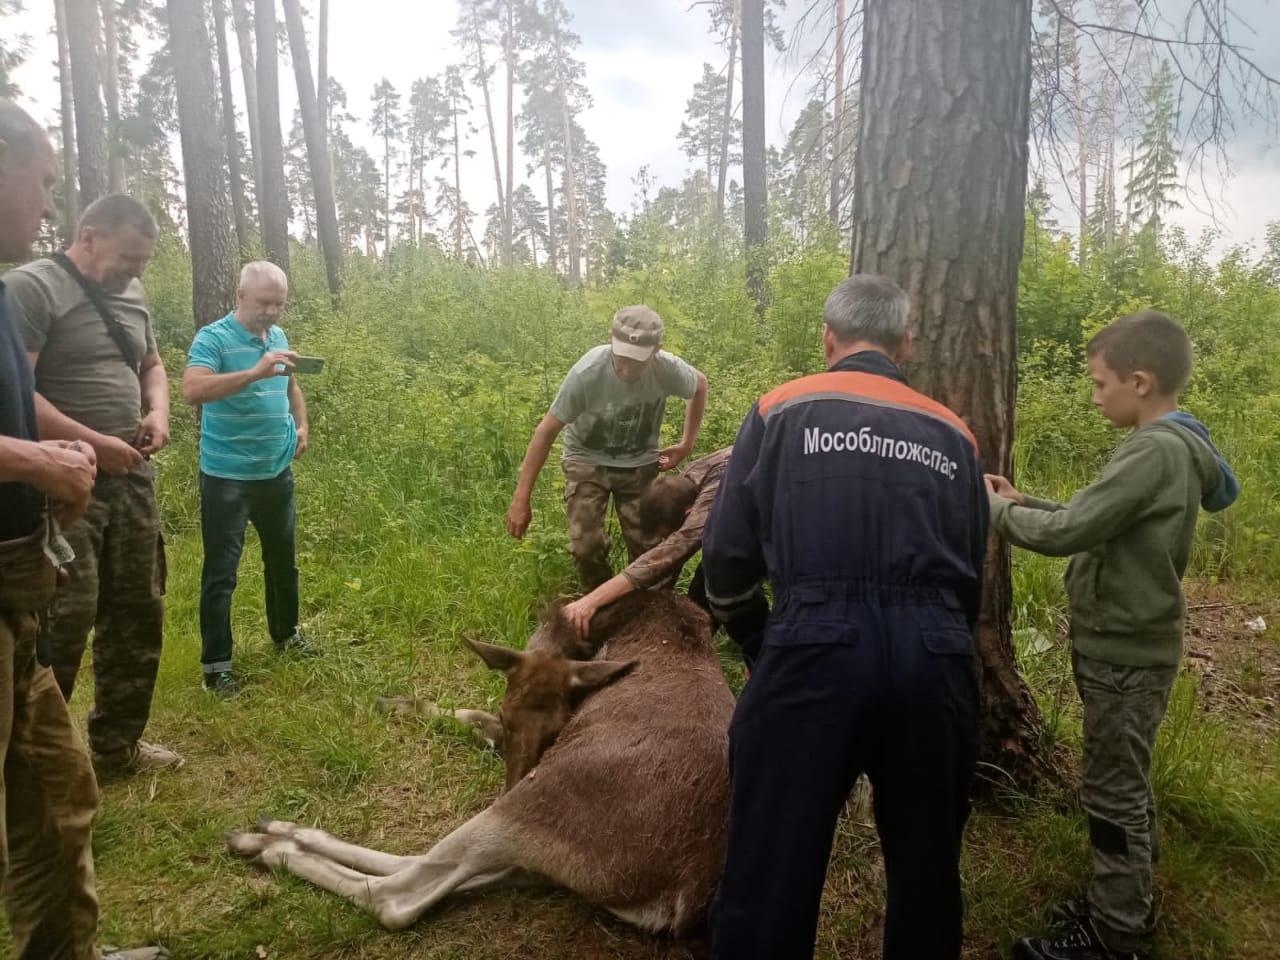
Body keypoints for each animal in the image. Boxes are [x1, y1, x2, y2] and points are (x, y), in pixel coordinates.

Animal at [225, 593, 737, 942]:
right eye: (509, 716)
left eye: (558, 729)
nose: (508, 783)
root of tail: (680, 900)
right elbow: (470, 715)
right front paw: (394, 703)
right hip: (556, 861)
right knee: (434, 868)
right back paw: (275, 831)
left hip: (538, 805)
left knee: (400, 895)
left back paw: (270, 846)